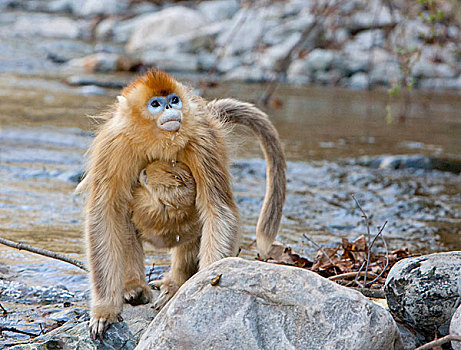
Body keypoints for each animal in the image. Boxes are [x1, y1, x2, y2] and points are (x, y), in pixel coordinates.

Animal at [81, 69, 286, 338]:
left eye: (174, 100)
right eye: (155, 104)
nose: (170, 108)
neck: (157, 140)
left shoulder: (202, 141)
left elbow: (218, 210)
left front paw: (205, 285)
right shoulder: (115, 145)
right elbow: (104, 213)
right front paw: (105, 309)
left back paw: (175, 284)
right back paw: (134, 286)